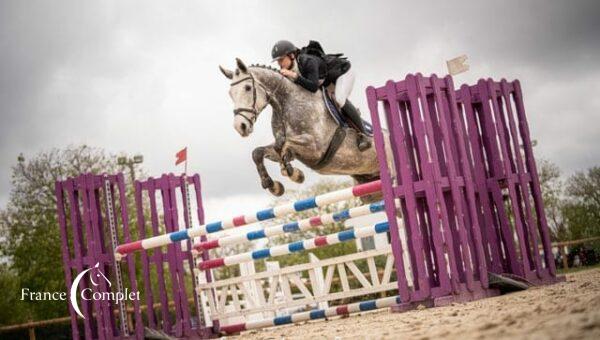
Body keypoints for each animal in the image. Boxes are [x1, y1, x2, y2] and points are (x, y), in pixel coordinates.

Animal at [220, 58, 390, 197]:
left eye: (248, 88)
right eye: (230, 93)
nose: (240, 126)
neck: (286, 103)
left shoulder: (315, 148)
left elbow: (283, 147)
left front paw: (294, 174)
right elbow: (259, 152)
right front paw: (274, 186)